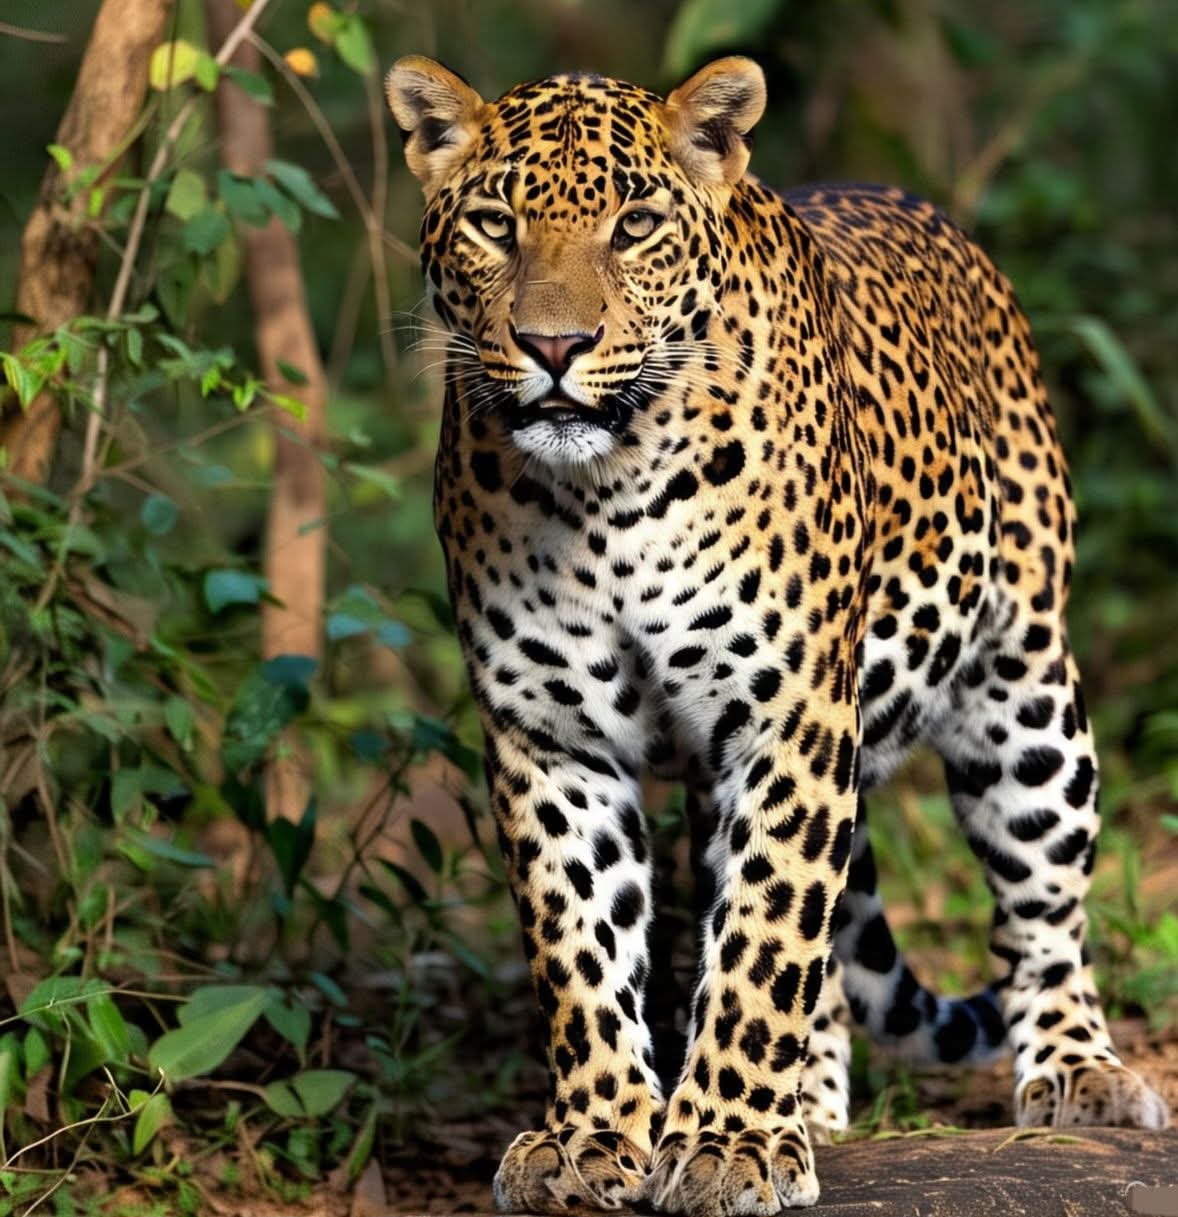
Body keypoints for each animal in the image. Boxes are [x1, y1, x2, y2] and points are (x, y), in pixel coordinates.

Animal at [386, 53, 1170, 1215]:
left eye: (634, 224)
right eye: (493, 223)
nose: (554, 346)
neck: (604, 491)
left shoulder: (788, 712)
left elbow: (763, 940)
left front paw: (725, 1143)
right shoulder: (550, 733)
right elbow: (581, 945)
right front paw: (594, 1134)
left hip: (1025, 691)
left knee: (1040, 912)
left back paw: (1079, 1070)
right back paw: (805, 1097)